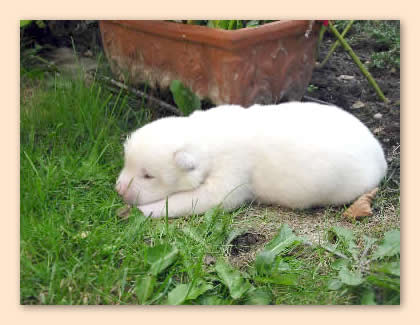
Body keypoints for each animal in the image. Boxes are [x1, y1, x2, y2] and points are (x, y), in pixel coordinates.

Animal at [115, 102, 388, 218]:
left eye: (148, 175)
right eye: (127, 164)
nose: (118, 190)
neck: (205, 137)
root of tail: (381, 158)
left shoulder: (227, 182)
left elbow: (185, 201)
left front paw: (143, 211)